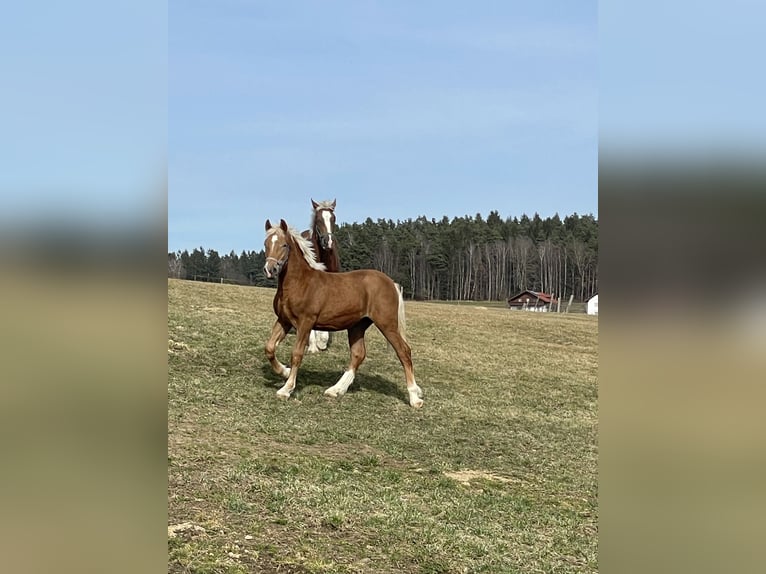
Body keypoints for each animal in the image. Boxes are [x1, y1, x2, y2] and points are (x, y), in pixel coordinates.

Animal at [260, 218, 424, 408]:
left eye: (284, 245)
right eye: (266, 244)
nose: (270, 269)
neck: (300, 283)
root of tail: (392, 283)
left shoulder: (305, 323)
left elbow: (297, 354)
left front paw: (286, 389)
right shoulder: (284, 320)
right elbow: (269, 348)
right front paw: (284, 372)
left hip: (387, 324)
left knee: (404, 351)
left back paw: (415, 398)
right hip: (357, 326)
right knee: (358, 354)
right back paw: (335, 390)